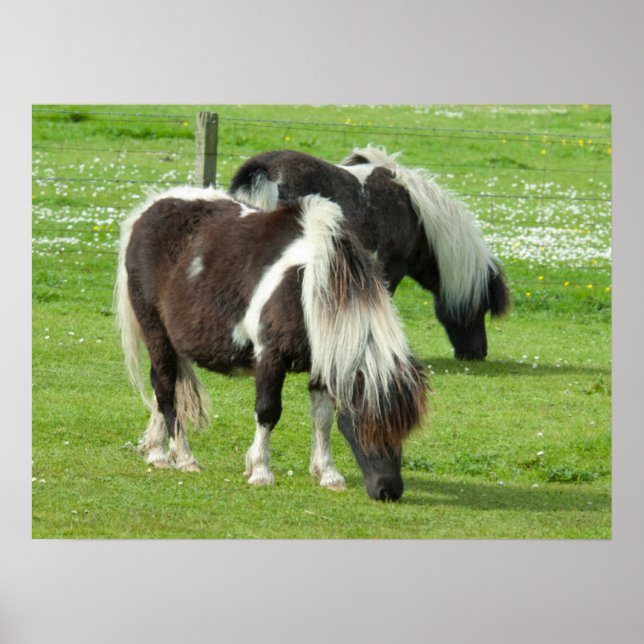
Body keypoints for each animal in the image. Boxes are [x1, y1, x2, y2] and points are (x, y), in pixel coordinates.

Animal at [115, 186, 428, 501]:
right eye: (365, 424)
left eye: (405, 430)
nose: (389, 490)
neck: (308, 285)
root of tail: (148, 210)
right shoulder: (270, 357)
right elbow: (268, 412)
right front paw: (260, 471)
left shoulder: (324, 362)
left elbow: (323, 418)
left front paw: (328, 474)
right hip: (156, 331)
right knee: (165, 387)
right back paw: (182, 457)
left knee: (165, 389)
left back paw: (156, 450)